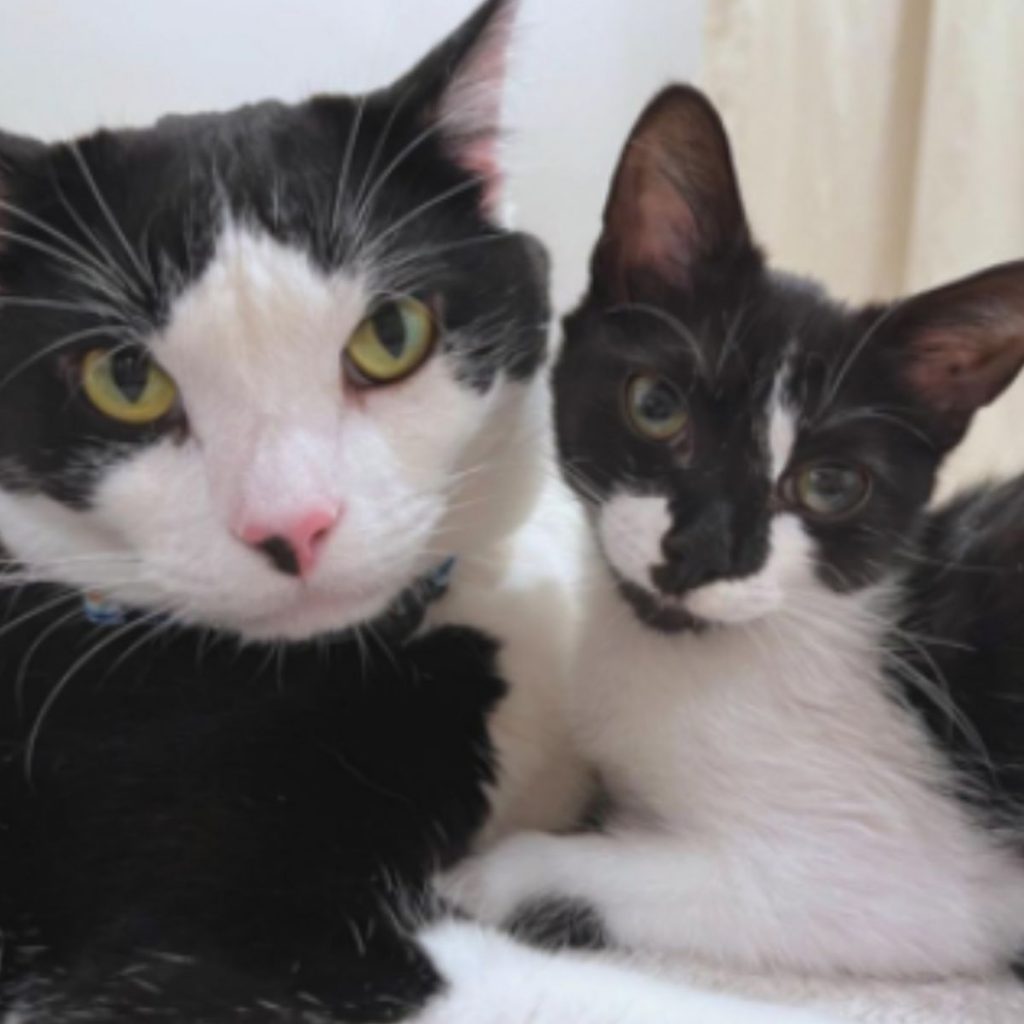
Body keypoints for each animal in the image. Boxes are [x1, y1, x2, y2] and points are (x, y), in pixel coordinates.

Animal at [448, 83, 1024, 978]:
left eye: (830, 485)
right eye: (656, 406)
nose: (704, 549)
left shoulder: (913, 876)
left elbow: (616, 866)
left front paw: (479, 876)